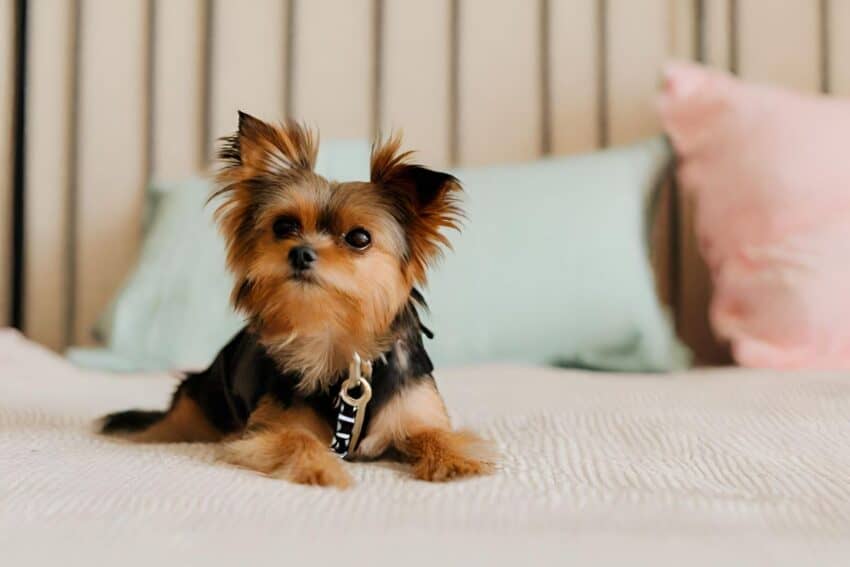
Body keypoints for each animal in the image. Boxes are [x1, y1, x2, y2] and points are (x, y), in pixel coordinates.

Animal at [100, 111, 494, 488]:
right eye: (284, 226)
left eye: (359, 238)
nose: (301, 253)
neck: (338, 340)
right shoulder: (267, 429)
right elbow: (296, 439)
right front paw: (322, 469)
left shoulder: (417, 413)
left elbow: (436, 435)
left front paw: (453, 460)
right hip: (196, 406)